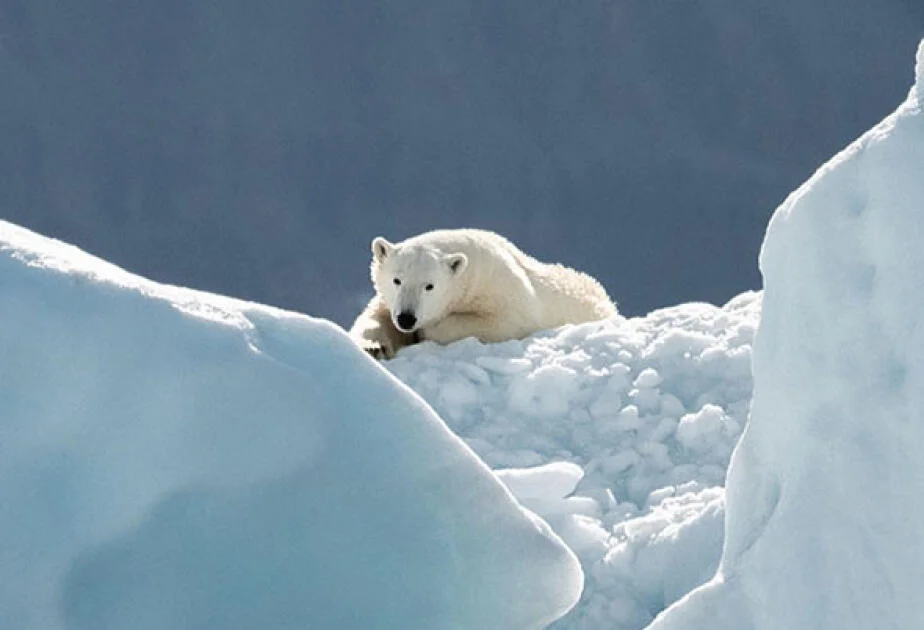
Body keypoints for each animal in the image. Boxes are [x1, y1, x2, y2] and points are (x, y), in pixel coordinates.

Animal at [350, 231, 616, 360]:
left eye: (430, 286)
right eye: (397, 280)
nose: (407, 318)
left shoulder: (500, 287)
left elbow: (504, 321)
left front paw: (426, 331)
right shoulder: (389, 301)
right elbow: (375, 318)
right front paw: (373, 347)